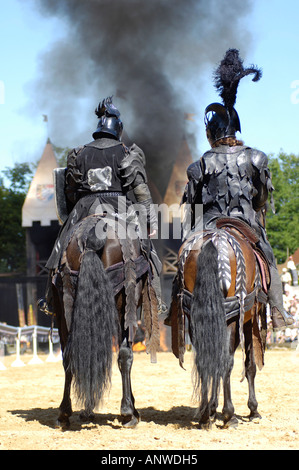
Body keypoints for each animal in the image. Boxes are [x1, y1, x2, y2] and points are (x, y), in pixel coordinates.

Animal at [50, 215, 161, 428]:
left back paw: (66, 413)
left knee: (71, 356)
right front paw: (132, 409)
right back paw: (127, 413)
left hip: (66, 310)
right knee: (125, 354)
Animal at [169, 218, 270, 428]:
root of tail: (213, 240)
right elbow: (249, 365)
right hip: (230, 318)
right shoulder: (247, 322)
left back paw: (205, 415)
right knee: (225, 360)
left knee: (205, 360)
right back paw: (229, 415)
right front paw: (252, 409)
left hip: (196, 318)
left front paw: (212, 408)